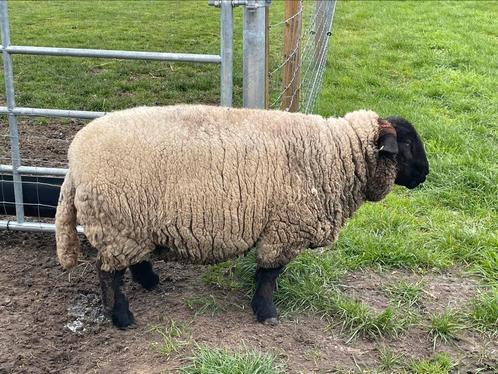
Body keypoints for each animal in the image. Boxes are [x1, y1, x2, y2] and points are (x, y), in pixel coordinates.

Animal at [53, 105, 428, 328]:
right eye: (408, 144)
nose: (425, 174)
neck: (332, 155)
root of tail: (74, 162)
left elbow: (267, 273)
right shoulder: (284, 228)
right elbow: (269, 274)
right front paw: (266, 311)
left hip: (132, 225)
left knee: (130, 260)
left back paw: (149, 281)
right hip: (116, 222)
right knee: (107, 274)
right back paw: (121, 316)